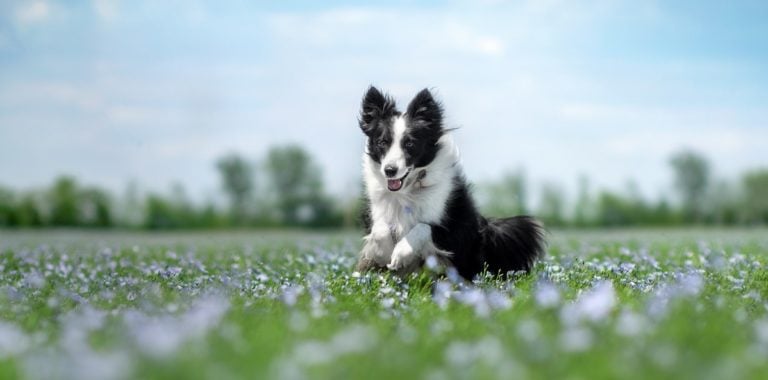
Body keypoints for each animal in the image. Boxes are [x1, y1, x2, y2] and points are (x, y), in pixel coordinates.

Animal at [356, 86, 544, 280]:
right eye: (382, 142)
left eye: (409, 144)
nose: (390, 170)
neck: (408, 189)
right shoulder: (374, 214)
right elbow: (379, 228)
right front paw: (384, 253)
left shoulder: (454, 226)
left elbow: (424, 226)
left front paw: (401, 252)